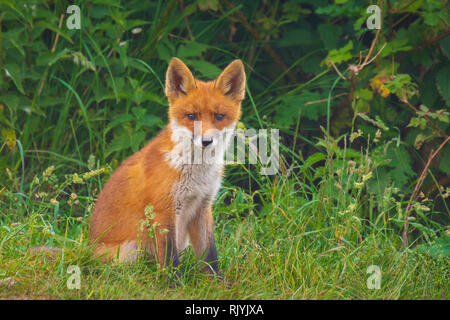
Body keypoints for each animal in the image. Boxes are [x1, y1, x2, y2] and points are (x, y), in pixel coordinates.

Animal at [87, 57, 246, 278]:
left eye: (219, 116)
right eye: (191, 116)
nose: (206, 141)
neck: (197, 173)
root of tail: (85, 249)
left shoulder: (203, 207)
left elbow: (209, 254)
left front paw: (217, 280)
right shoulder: (164, 210)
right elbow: (170, 258)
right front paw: (174, 282)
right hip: (131, 249)